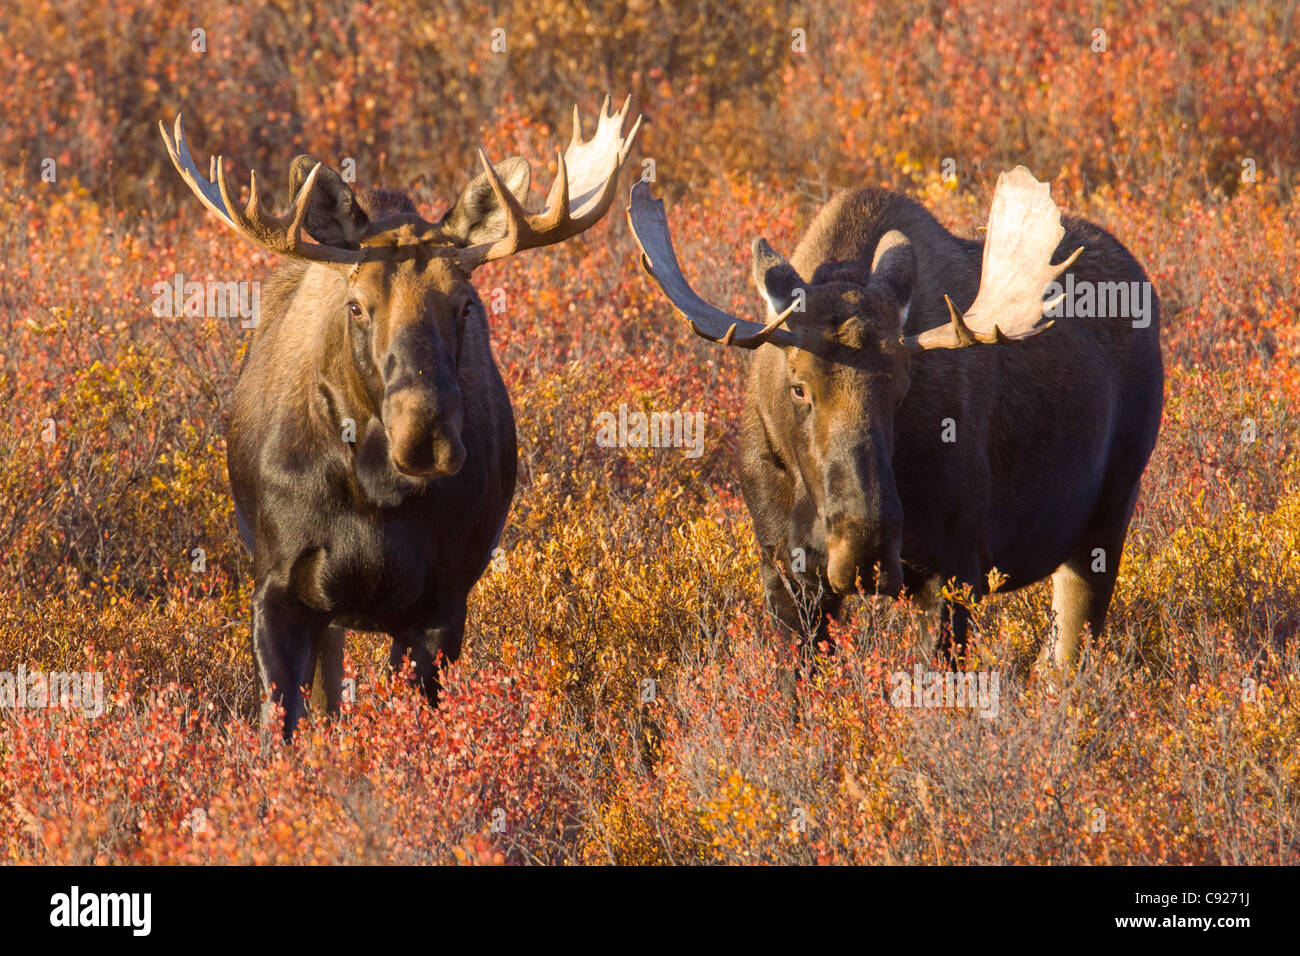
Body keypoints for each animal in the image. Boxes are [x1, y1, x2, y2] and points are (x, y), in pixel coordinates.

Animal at [159, 97, 642, 738]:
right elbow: (279, 726)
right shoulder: (278, 589)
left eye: (466, 305)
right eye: (357, 305)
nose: (427, 438)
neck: (375, 493)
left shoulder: (442, 603)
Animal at [624, 166, 1164, 665]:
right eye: (799, 387)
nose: (864, 544)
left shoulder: (955, 570)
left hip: (1110, 512)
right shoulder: (783, 571)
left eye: (903, 387)